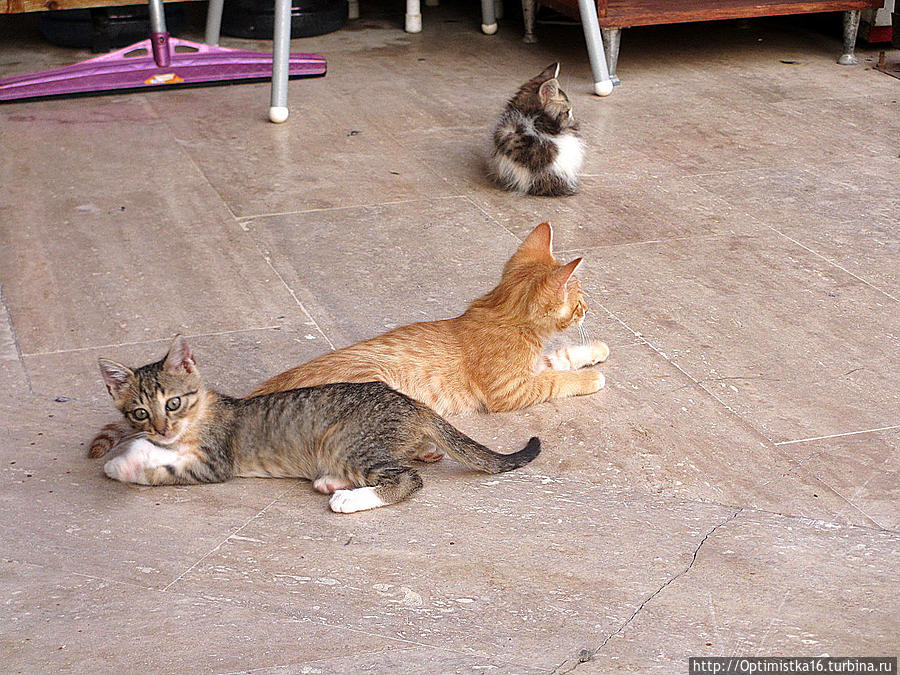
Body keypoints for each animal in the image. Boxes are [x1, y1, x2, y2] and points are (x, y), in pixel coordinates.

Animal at [91, 336, 540, 516]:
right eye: (139, 412)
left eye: (173, 402)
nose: (162, 428)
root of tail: (409, 401)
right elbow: (152, 449)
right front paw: (129, 454)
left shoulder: (214, 462)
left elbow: (165, 467)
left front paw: (123, 465)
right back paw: (332, 481)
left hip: (349, 441)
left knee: (407, 478)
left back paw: (350, 499)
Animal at [250, 224, 608, 418]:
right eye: (579, 303)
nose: (589, 309)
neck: (502, 313)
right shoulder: (510, 389)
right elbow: (554, 380)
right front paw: (589, 378)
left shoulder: (532, 367)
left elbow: (559, 357)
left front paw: (595, 350)